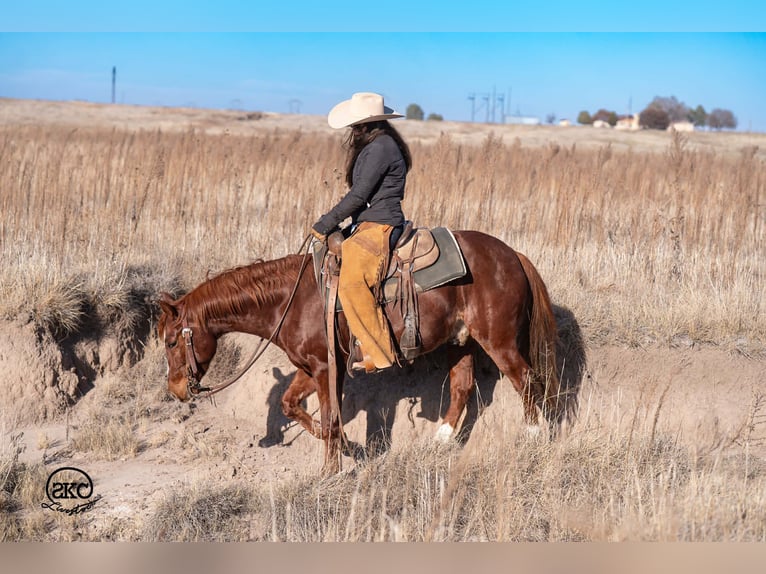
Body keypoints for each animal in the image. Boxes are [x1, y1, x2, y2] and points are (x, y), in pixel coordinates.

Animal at [157, 230, 564, 473]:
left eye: (171, 341)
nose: (176, 390)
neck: (291, 300)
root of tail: (512, 255)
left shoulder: (325, 369)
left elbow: (330, 418)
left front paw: (331, 469)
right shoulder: (311, 368)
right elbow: (293, 405)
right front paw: (347, 448)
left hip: (499, 341)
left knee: (526, 380)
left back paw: (532, 437)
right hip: (459, 342)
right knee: (463, 387)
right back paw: (440, 442)